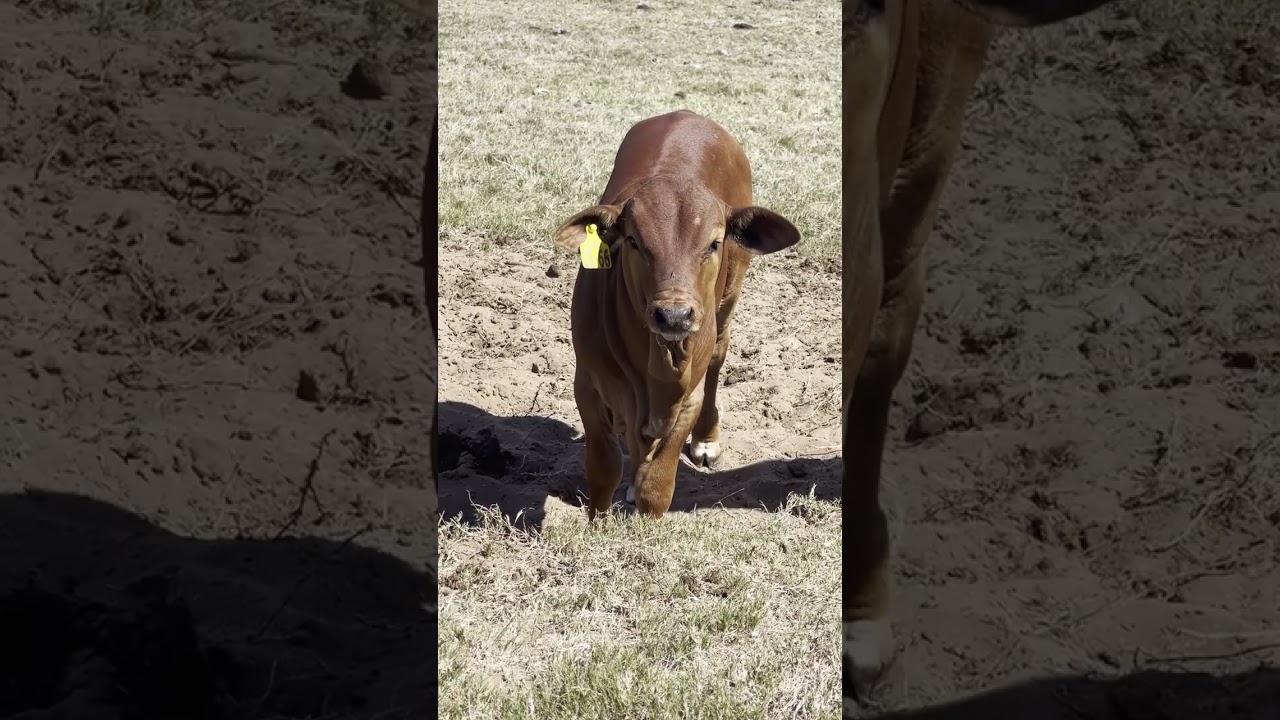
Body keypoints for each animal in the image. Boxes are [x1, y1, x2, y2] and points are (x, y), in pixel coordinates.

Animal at [553, 110, 801, 519]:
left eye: (714, 243)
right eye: (634, 241)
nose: (674, 316)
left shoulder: (689, 397)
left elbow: (657, 484)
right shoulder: (588, 382)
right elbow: (604, 468)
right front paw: (599, 520)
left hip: (728, 303)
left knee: (718, 356)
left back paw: (706, 440)